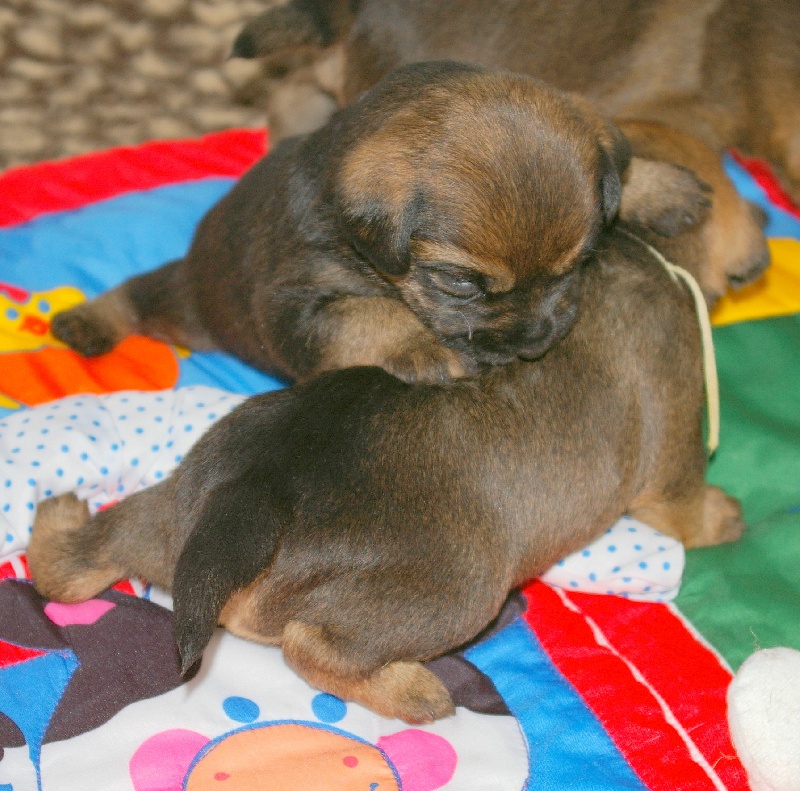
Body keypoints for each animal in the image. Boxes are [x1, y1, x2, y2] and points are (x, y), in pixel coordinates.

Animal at [28, 167, 746, 724]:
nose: (760, 225)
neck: (644, 250)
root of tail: (246, 504)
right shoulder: (673, 443)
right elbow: (686, 504)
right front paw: (724, 517)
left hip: (165, 510)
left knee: (74, 561)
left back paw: (58, 514)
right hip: (459, 586)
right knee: (312, 646)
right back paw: (416, 690)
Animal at [51, 62, 718, 385]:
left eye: (578, 265)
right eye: (460, 283)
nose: (534, 345)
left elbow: (618, 160)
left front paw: (657, 184)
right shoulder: (298, 304)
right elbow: (372, 314)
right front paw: (428, 345)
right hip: (190, 305)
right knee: (138, 294)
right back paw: (86, 321)